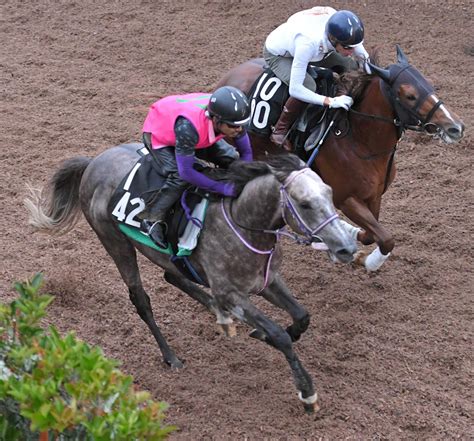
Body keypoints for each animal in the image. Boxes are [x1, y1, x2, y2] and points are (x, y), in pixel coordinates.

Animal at [24, 146, 354, 410]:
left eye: (329, 194)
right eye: (305, 203)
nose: (347, 247)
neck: (242, 221)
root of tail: (93, 162)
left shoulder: (267, 281)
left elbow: (301, 316)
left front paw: (263, 333)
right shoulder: (231, 293)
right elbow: (279, 334)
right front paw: (306, 391)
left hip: (165, 256)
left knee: (173, 276)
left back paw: (218, 315)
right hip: (115, 242)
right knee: (141, 300)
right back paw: (171, 356)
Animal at [217, 46, 464, 270]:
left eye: (429, 85)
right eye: (410, 95)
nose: (456, 127)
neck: (359, 139)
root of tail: (227, 78)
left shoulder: (375, 194)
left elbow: (372, 234)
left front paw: (348, 238)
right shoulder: (345, 198)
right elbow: (385, 238)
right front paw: (368, 260)